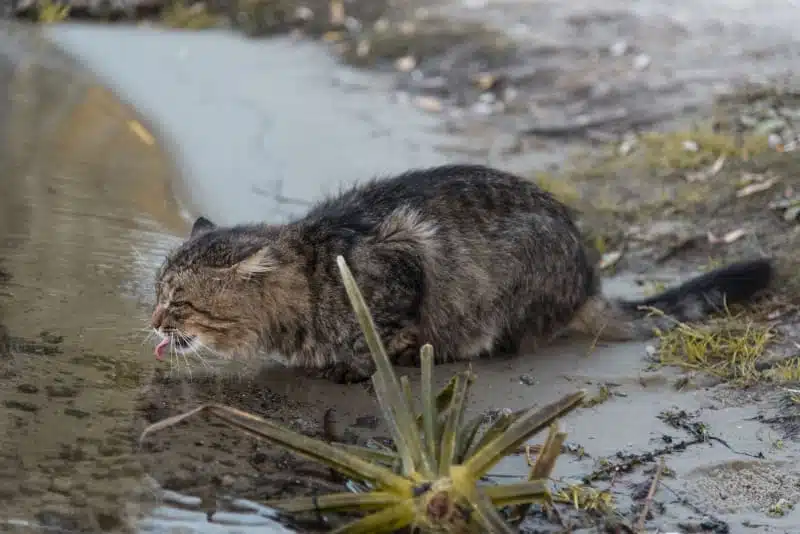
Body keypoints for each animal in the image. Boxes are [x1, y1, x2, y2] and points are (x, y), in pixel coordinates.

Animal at [148, 165, 768, 384]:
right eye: (157, 294)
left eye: (178, 302)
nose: (152, 320)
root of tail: (588, 280)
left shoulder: (406, 253)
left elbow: (385, 333)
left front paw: (356, 363)